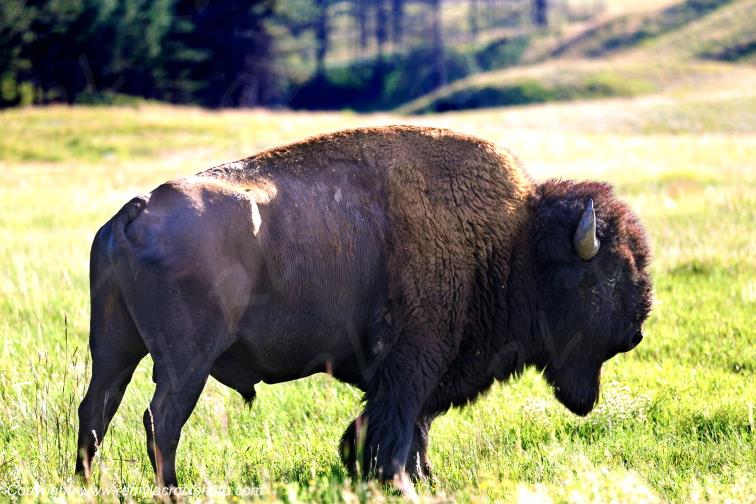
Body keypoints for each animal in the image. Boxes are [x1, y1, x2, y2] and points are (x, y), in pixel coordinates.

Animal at [75, 126, 652, 491]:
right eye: (609, 273)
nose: (636, 332)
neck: (513, 240)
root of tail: (136, 211)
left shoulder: (415, 373)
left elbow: (409, 426)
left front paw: (418, 476)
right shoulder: (414, 362)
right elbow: (399, 425)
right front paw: (398, 480)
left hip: (115, 348)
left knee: (96, 408)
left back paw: (86, 482)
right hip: (186, 359)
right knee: (161, 417)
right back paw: (170, 488)